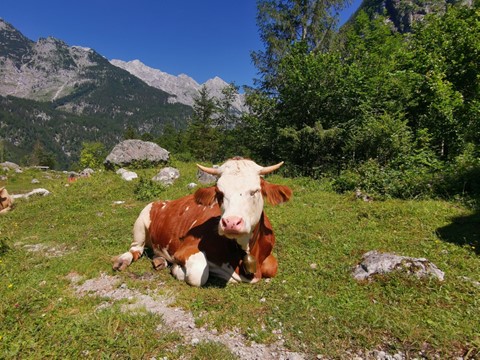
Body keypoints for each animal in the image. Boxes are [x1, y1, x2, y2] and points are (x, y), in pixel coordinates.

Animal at [113, 158, 292, 286]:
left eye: (255, 191)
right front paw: (177, 269)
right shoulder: (185, 249)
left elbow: (272, 267)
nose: (231, 222)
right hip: (142, 219)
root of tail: (164, 201)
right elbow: (198, 274)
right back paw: (123, 261)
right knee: (135, 249)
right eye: (219, 193)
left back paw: (160, 261)